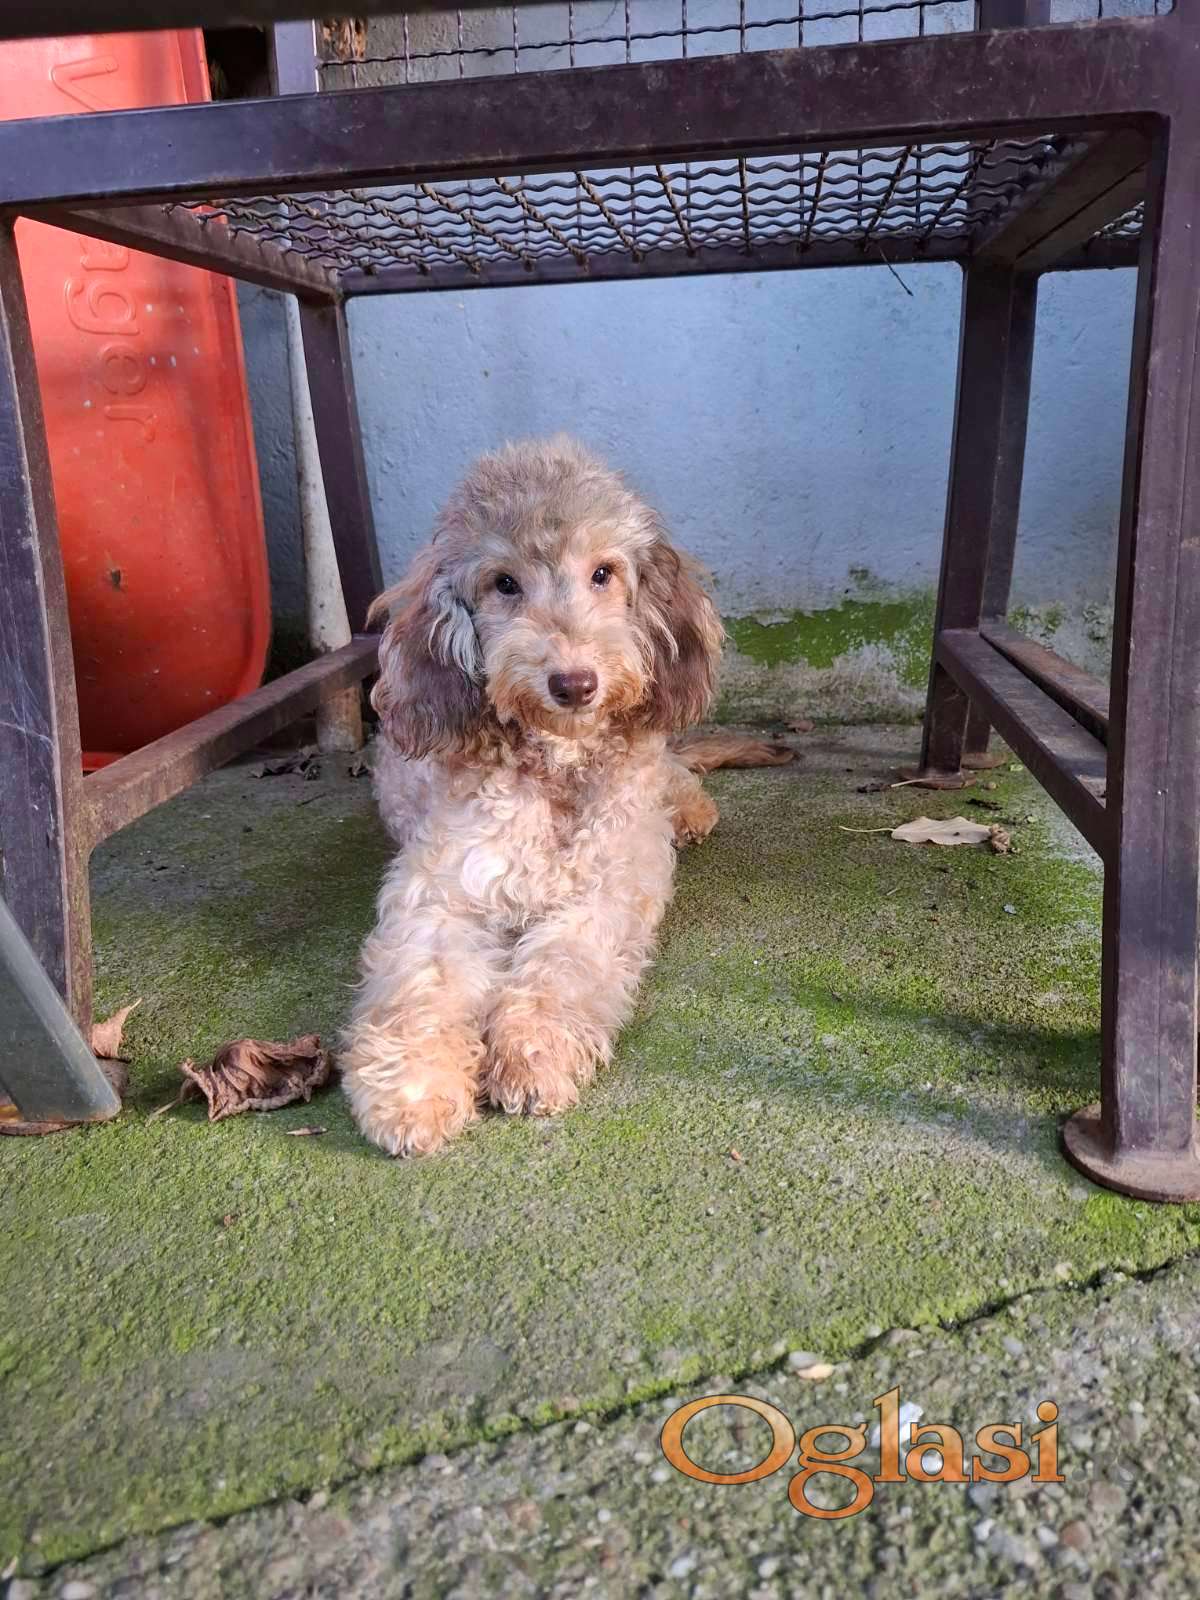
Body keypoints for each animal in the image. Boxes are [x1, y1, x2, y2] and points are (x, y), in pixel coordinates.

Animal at [341, 437, 792, 1155]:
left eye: (603, 573)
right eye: (504, 583)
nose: (574, 682)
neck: (557, 768)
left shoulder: (608, 887)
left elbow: (562, 967)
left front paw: (534, 1052)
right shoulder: (441, 893)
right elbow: (421, 984)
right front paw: (412, 1088)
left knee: (674, 774)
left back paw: (691, 810)